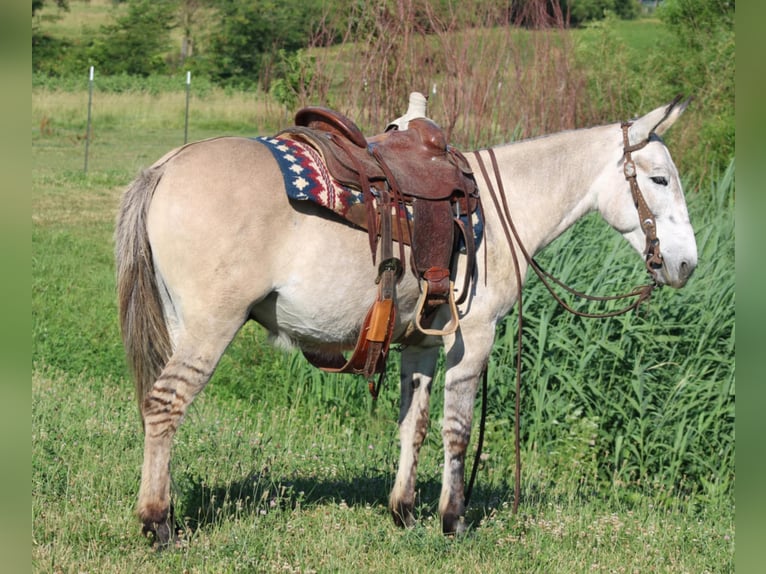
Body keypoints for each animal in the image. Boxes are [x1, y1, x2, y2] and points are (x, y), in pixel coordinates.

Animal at [115, 98, 697, 546]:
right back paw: (158, 525)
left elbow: (412, 424)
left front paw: (404, 511)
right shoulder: (474, 338)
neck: (500, 210)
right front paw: (452, 520)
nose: (687, 264)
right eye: (660, 178)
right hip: (210, 328)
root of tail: (167, 166)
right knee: (165, 406)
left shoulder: (421, 343)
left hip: (181, 324)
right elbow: (457, 430)